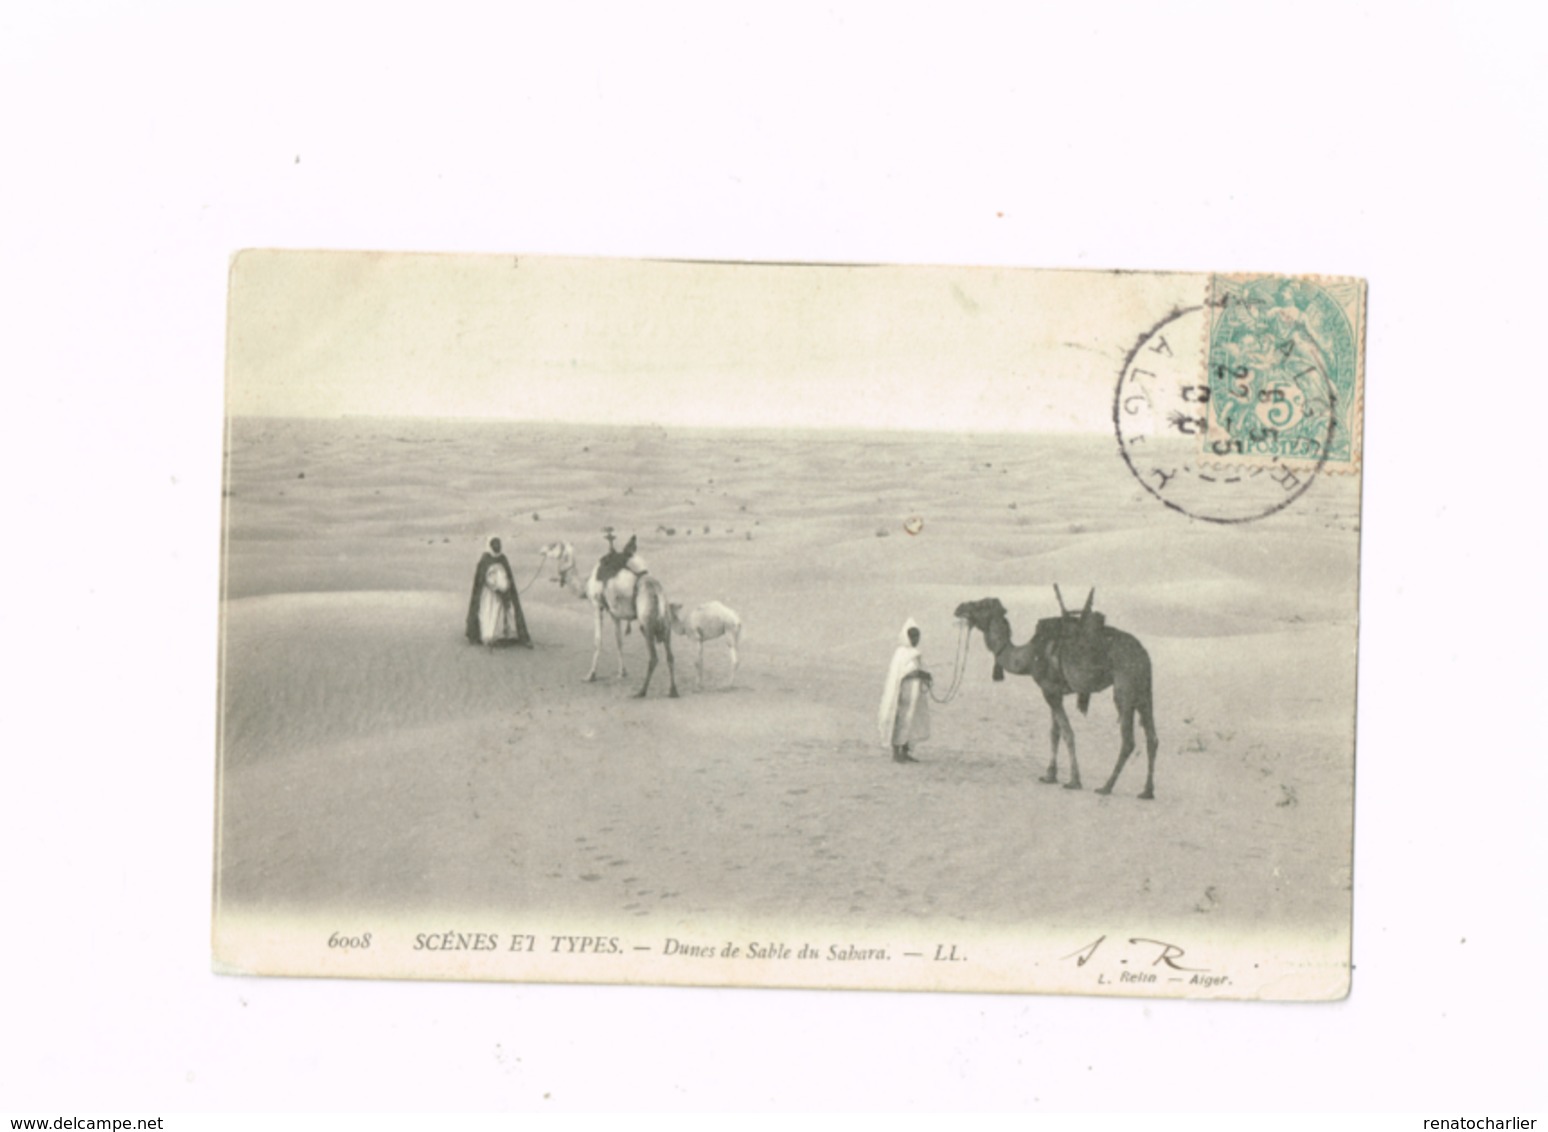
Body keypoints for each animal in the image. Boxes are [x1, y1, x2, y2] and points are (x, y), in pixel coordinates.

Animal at [541, 535, 674, 693]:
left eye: (553, 545)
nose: (541, 550)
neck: (585, 585)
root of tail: (654, 585)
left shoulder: (597, 605)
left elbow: (597, 641)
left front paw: (591, 675)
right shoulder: (615, 612)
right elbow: (619, 641)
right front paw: (622, 672)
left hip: (646, 622)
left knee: (654, 656)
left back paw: (643, 691)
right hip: (665, 618)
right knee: (669, 654)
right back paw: (672, 691)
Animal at [953, 588, 1164, 799]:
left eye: (981, 604)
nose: (959, 607)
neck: (1029, 656)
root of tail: (1143, 654)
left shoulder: (1049, 690)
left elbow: (1067, 733)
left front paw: (1074, 781)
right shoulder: (1054, 691)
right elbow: (1054, 732)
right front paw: (1049, 776)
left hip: (1124, 687)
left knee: (1128, 740)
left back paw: (1106, 786)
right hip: (1144, 691)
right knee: (1152, 738)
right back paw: (1147, 791)